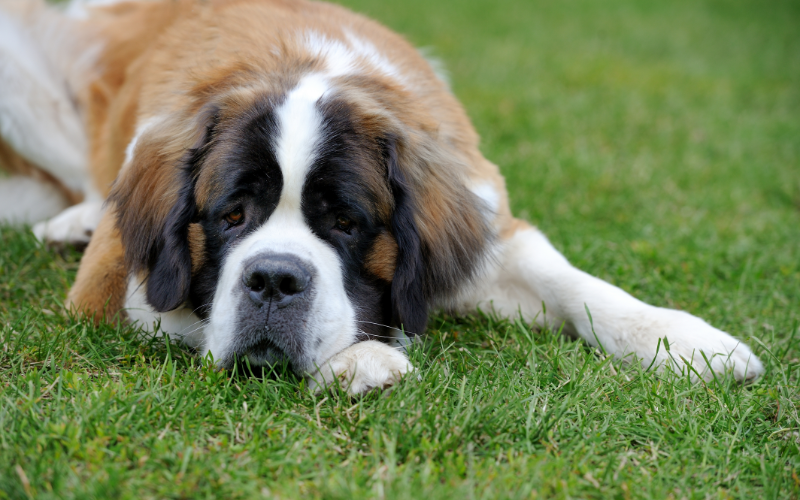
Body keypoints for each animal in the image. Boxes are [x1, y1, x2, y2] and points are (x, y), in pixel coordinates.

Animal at [0, 0, 764, 392]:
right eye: (231, 216)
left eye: (345, 222)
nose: (273, 280)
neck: (304, 64)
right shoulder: (113, 285)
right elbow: (199, 312)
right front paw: (361, 357)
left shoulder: (488, 219)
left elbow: (575, 283)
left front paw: (683, 341)